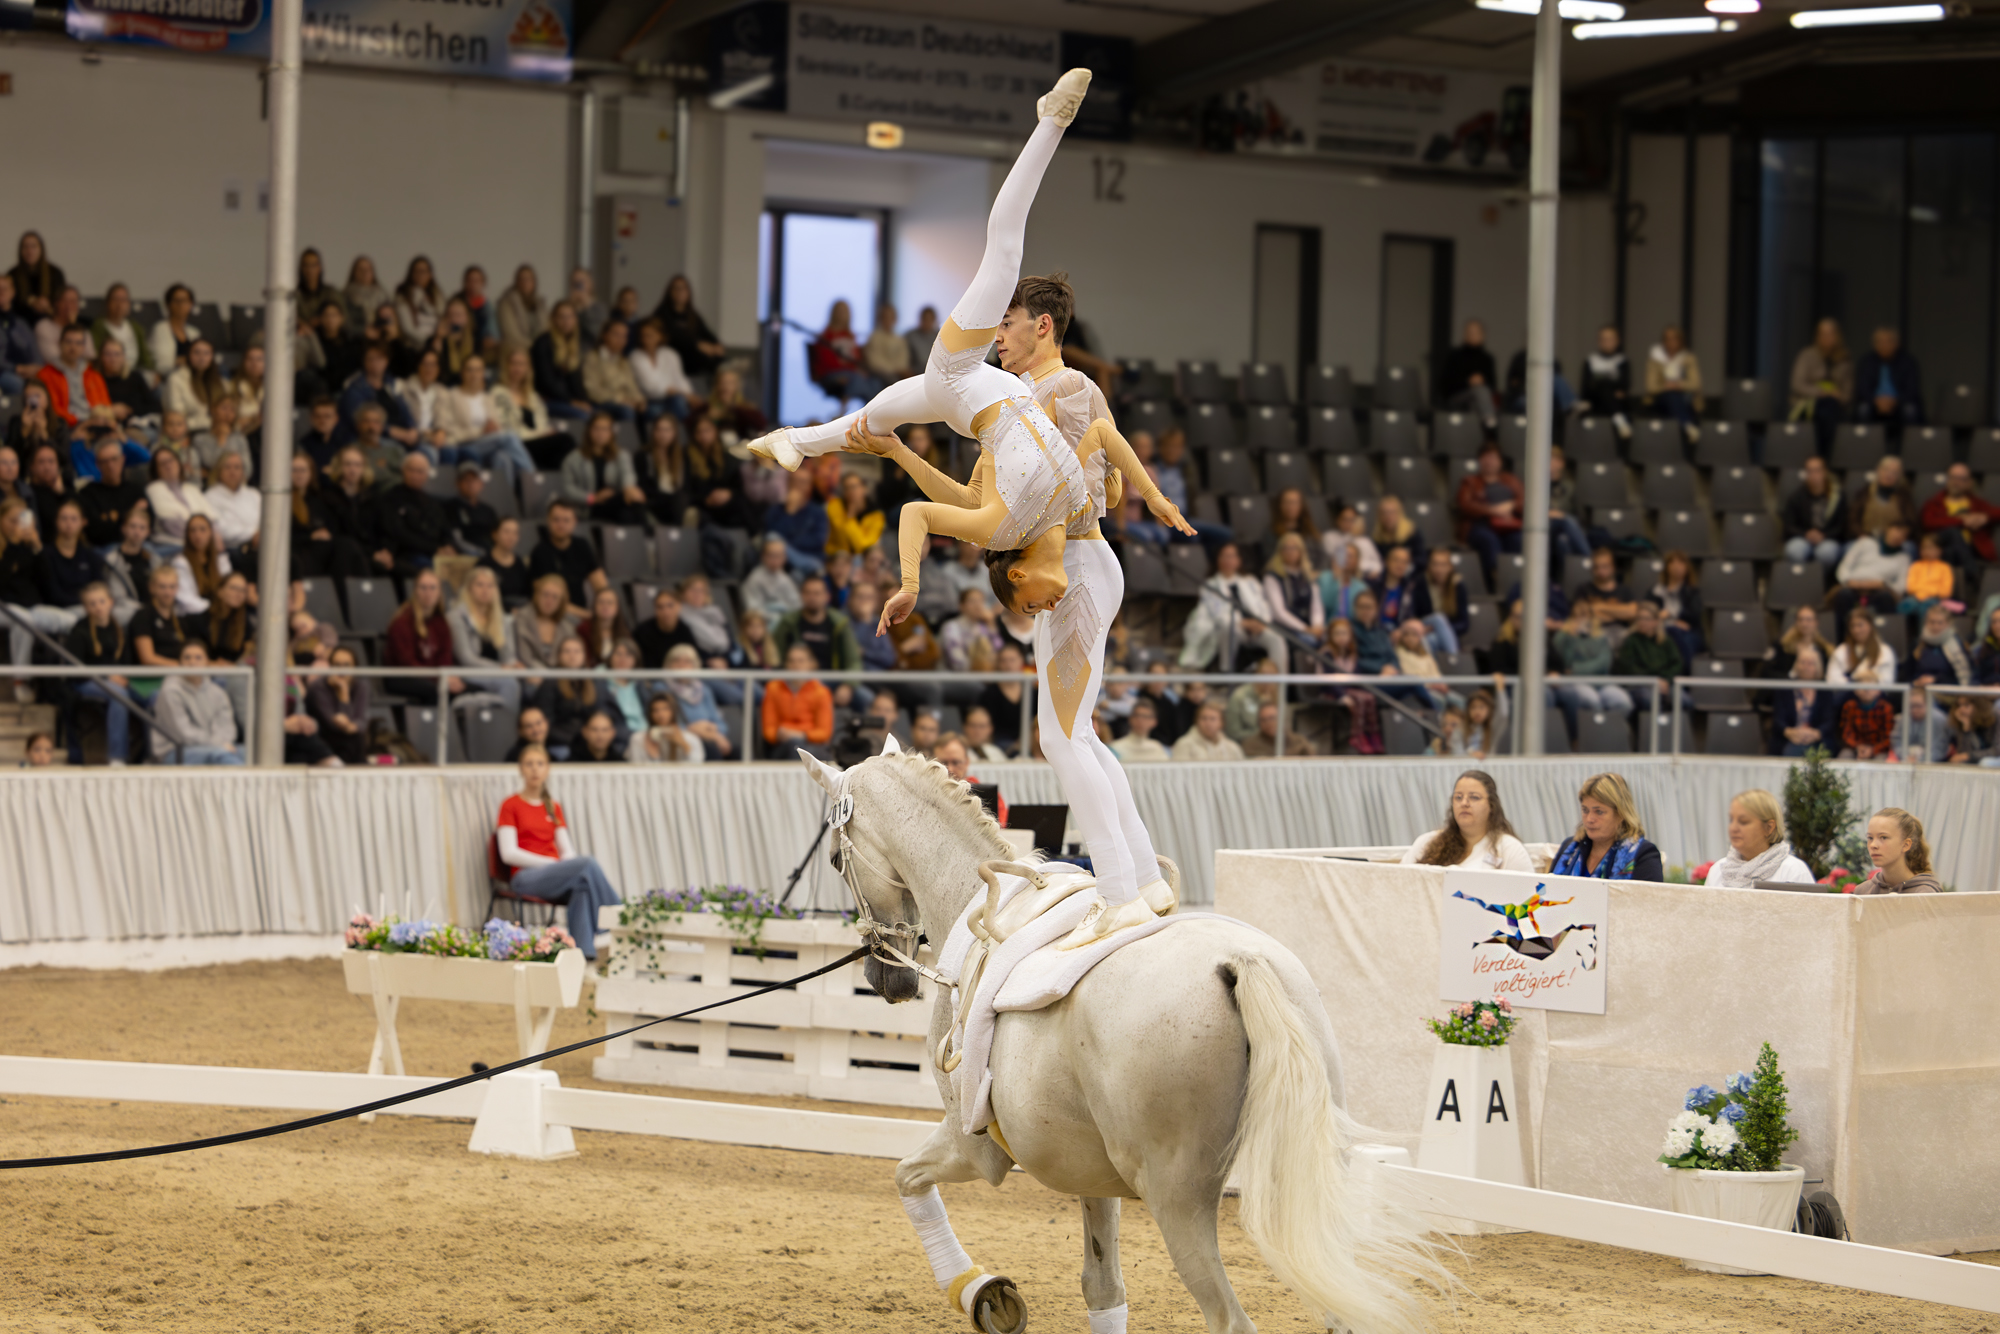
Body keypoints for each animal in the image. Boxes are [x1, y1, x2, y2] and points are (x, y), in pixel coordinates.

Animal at [796, 740, 1440, 1334]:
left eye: (833, 861)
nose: (887, 977)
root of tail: (1241, 962)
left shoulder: (973, 1146)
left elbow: (906, 1177)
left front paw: (981, 1294)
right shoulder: (1089, 1170)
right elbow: (1103, 1286)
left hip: (1177, 1198)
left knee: (1229, 1319)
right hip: (1298, 1183)